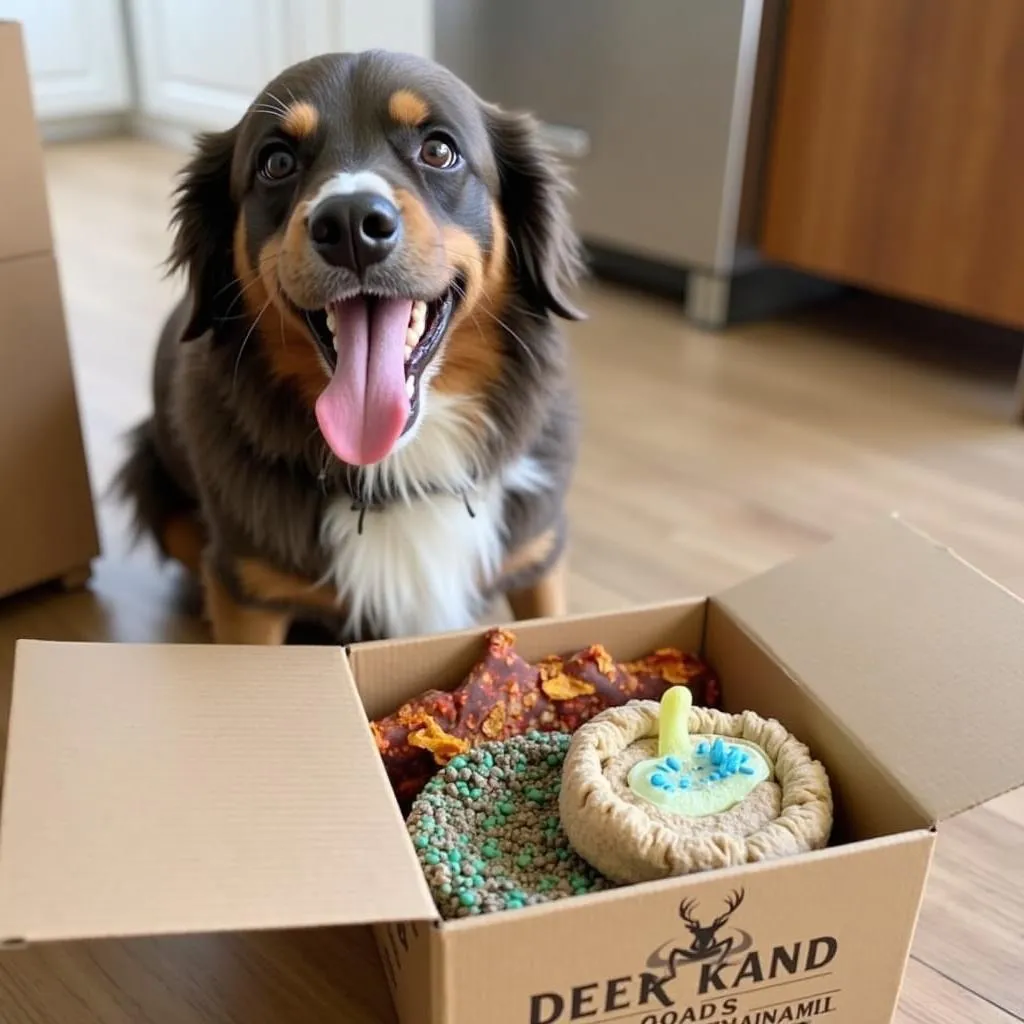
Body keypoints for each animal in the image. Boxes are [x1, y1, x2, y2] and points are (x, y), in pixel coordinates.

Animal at [116, 51, 585, 643]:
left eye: (438, 150)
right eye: (276, 162)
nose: (350, 224)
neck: (396, 469)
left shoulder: (540, 556)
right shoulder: (248, 594)